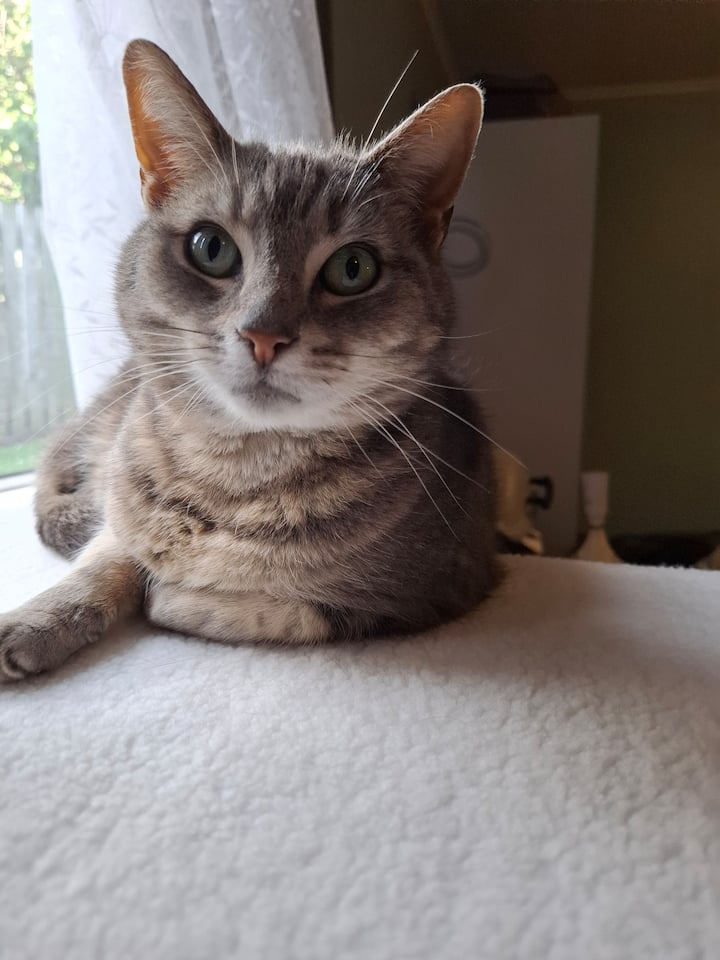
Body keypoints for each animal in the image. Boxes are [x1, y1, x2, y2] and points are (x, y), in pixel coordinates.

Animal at [0, 39, 499, 681]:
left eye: (353, 268)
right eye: (210, 247)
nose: (263, 334)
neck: (234, 478)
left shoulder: (440, 587)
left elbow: (277, 605)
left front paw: (177, 595)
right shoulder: (122, 501)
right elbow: (107, 551)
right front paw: (40, 617)